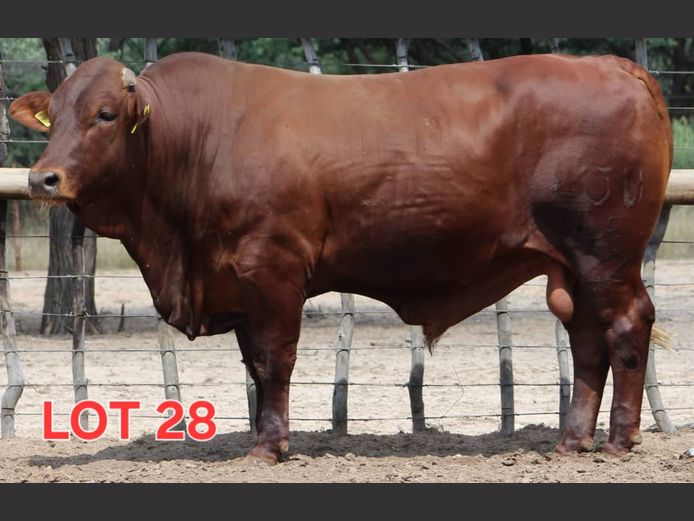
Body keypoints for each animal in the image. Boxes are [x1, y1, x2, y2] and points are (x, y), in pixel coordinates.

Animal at [9, 52, 672, 464]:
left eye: (105, 114)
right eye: (53, 115)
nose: (43, 179)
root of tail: (610, 64)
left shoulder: (272, 269)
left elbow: (274, 362)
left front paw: (269, 447)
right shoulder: (238, 282)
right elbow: (254, 367)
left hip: (605, 253)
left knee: (626, 326)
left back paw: (619, 441)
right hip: (574, 267)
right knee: (587, 342)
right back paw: (571, 442)